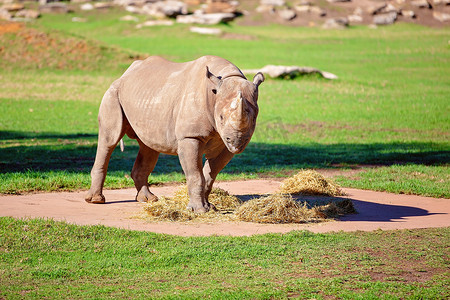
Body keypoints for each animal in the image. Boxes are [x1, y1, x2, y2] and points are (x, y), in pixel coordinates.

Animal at [86, 55, 264, 212]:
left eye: (254, 118)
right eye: (220, 117)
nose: (236, 143)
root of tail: (125, 74)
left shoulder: (224, 143)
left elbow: (209, 175)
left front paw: (210, 207)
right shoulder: (189, 136)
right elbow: (195, 175)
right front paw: (199, 210)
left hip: (149, 97)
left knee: (149, 147)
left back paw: (148, 200)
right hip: (113, 92)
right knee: (109, 140)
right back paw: (96, 201)